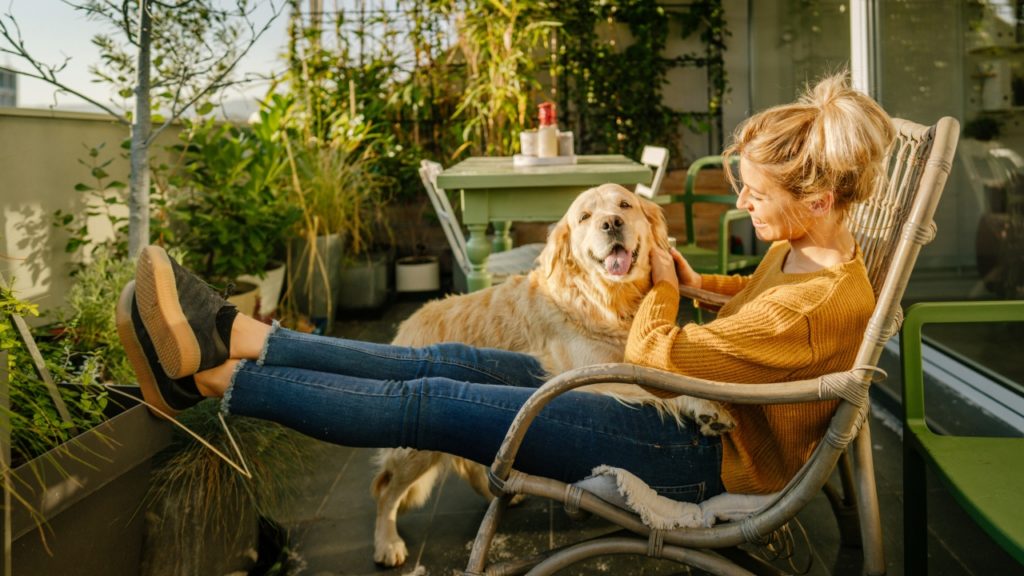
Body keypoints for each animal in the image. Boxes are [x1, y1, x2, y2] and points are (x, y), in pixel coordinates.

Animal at [368, 182, 729, 565]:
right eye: (585, 217)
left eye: (625, 205)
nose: (611, 223)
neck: (607, 301)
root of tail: (407, 323)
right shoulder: (595, 373)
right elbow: (667, 387)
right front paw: (708, 406)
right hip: (413, 451)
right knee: (386, 490)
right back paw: (387, 543)